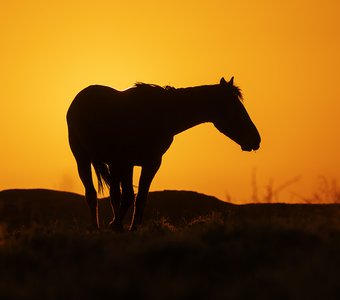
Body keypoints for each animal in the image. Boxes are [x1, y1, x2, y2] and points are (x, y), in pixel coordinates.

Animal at [67, 77, 262, 230]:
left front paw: (131, 229)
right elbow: (128, 196)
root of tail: (80, 97)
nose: (256, 140)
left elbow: (140, 198)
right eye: (235, 109)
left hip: (112, 165)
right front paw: (116, 226)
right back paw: (96, 227)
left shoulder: (151, 163)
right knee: (92, 193)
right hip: (82, 158)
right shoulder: (126, 162)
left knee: (114, 193)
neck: (161, 115)